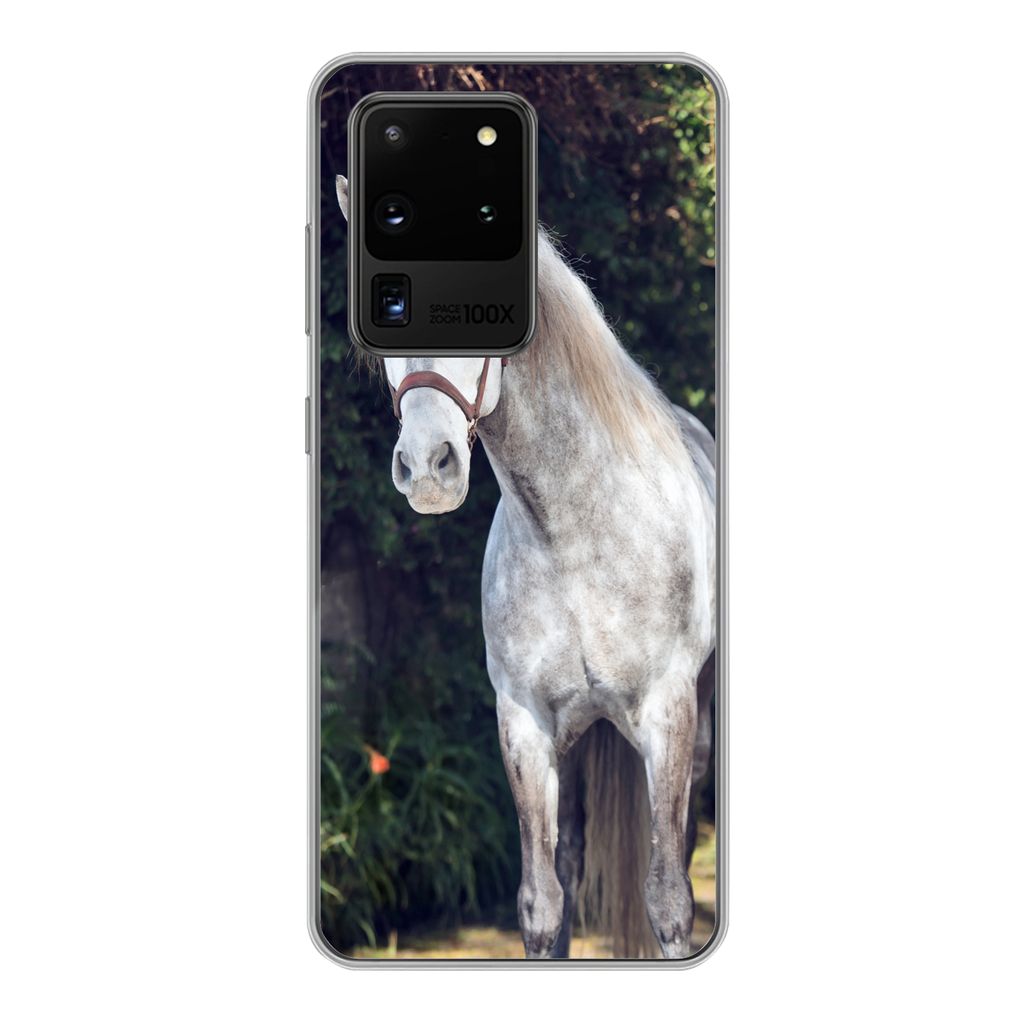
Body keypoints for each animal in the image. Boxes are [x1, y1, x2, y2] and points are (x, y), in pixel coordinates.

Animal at [335, 176, 716, 959]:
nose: (428, 468)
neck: (575, 534)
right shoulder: (524, 724)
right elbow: (542, 903)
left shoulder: (669, 714)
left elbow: (668, 900)